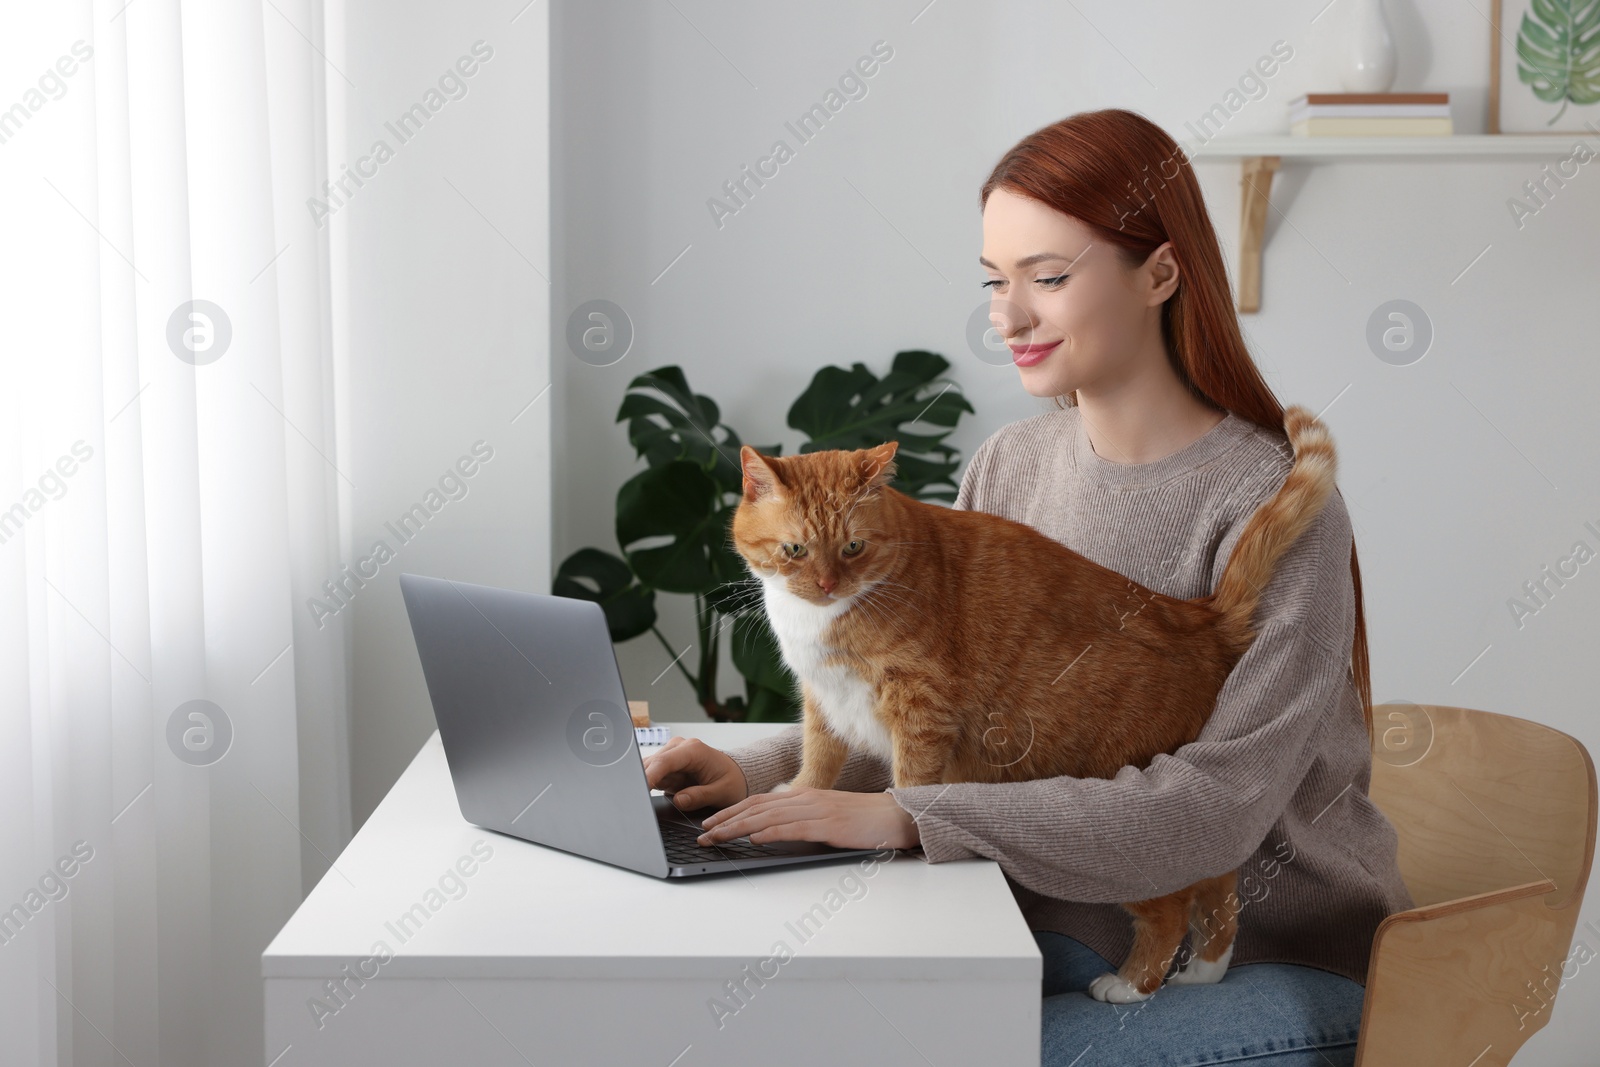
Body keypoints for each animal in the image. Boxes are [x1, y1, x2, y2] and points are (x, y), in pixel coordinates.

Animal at [729, 404, 1337, 1004]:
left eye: (853, 547)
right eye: (794, 550)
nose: (827, 585)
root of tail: (1201, 617)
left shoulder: (920, 705)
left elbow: (910, 781)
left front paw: (893, 825)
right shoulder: (823, 700)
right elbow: (819, 756)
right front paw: (799, 791)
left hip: (1132, 827)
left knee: (1170, 905)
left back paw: (1131, 984)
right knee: (1220, 883)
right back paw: (1205, 972)